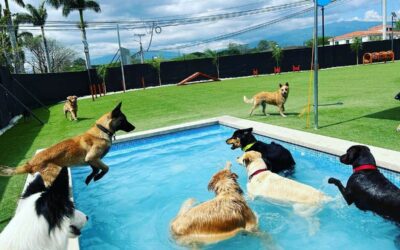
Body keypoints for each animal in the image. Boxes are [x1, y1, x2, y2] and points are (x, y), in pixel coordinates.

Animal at [0, 102, 135, 187]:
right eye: (123, 120)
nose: (133, 127)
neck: (102, 130)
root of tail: (30, 163)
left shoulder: (91, 160)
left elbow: (95, 169)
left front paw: (89, 178)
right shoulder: (92, 157)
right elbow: (106, 168)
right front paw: (96, 177)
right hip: (55, 173)